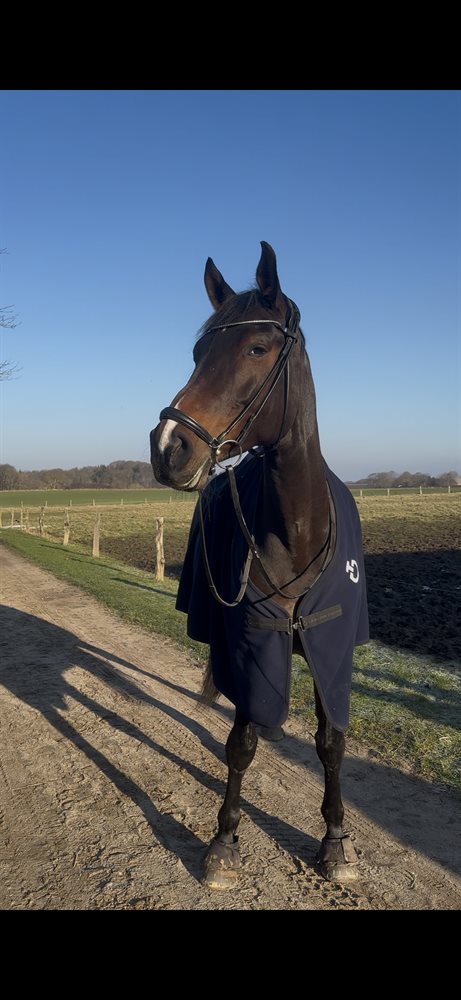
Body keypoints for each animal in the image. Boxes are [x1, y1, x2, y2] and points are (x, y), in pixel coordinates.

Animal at [150, 242, 369, 890]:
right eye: (199, 352)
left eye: (256, 349)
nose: (167, 446)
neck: (297, 527)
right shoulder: (250, 645)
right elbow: (242, 741)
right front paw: (224, 840)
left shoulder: (331, 649)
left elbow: (330, 742)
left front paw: (335, 841)